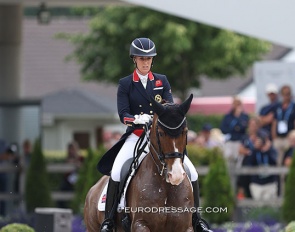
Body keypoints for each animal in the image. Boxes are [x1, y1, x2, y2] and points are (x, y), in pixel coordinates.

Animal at [84, 94, 195, 232]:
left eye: (185, 131)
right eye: (160, 133)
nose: (175, 176)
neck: (165, 186)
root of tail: (93, 189)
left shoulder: (185, 226)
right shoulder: (140, 224)